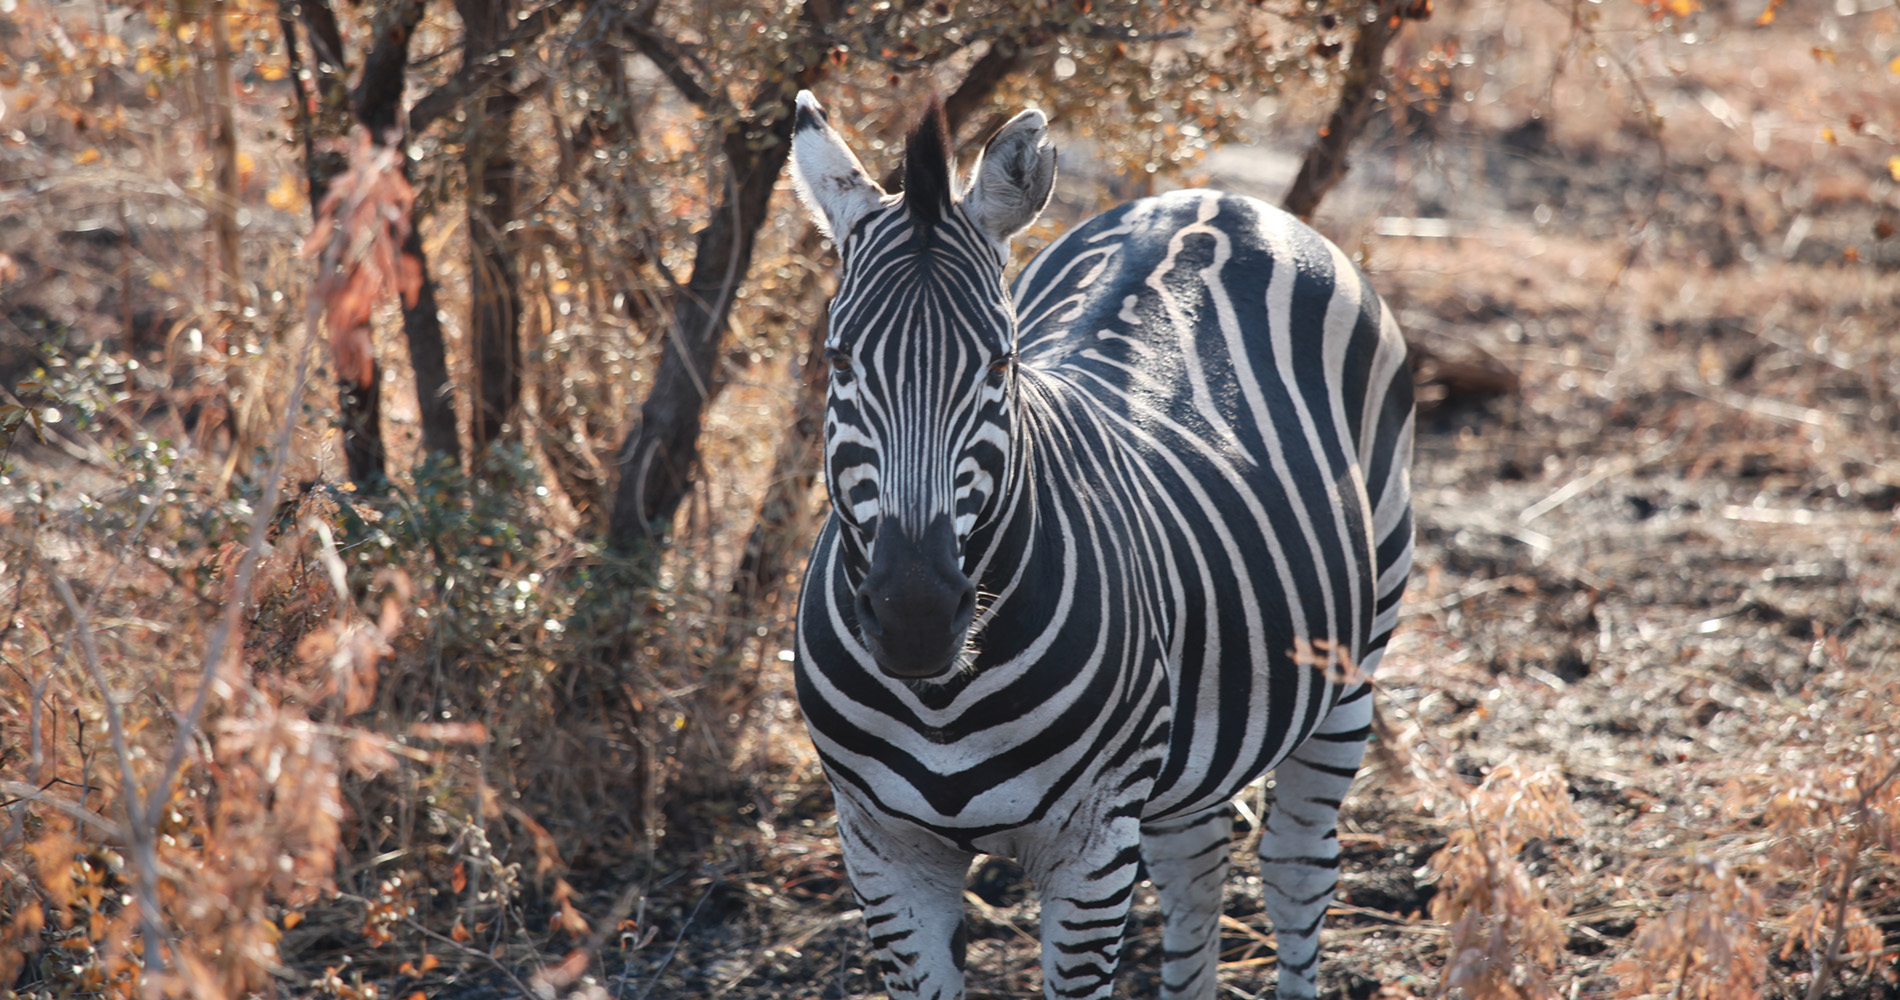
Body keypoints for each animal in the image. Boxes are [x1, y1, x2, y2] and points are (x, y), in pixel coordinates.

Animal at [782, 88, 1413, 1000]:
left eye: (1001, 365)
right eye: (837, 360)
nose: (913, 617)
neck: (941, 700)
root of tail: (1216, 197)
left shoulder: (1091, 852)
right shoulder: (882, 850)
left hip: (1354, 662)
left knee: (1296, 869)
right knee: (1197, 870)